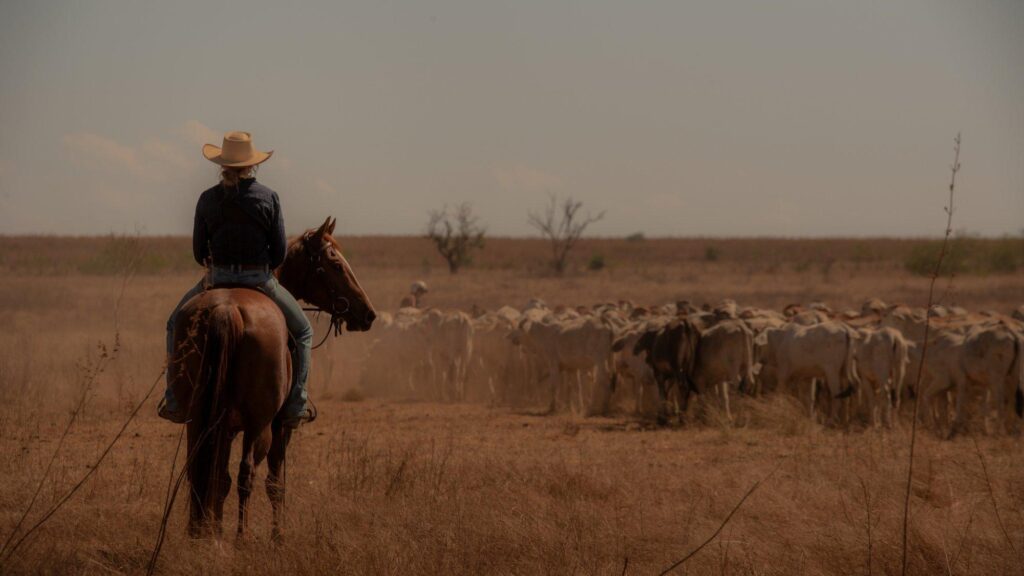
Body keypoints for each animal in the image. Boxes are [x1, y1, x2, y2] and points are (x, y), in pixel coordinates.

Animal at [167, 216, 376, 537]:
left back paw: (201, 533)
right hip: (260, 424)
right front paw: (277, 536)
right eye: (335, 265)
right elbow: (275, 483)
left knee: (201, 470)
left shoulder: (224, 426)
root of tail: (227, 310)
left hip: (198, 418)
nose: (368, 314)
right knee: (247, 474)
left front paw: (214, 530)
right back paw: (240, 539)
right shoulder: (280, 427)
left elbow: (218, 477)